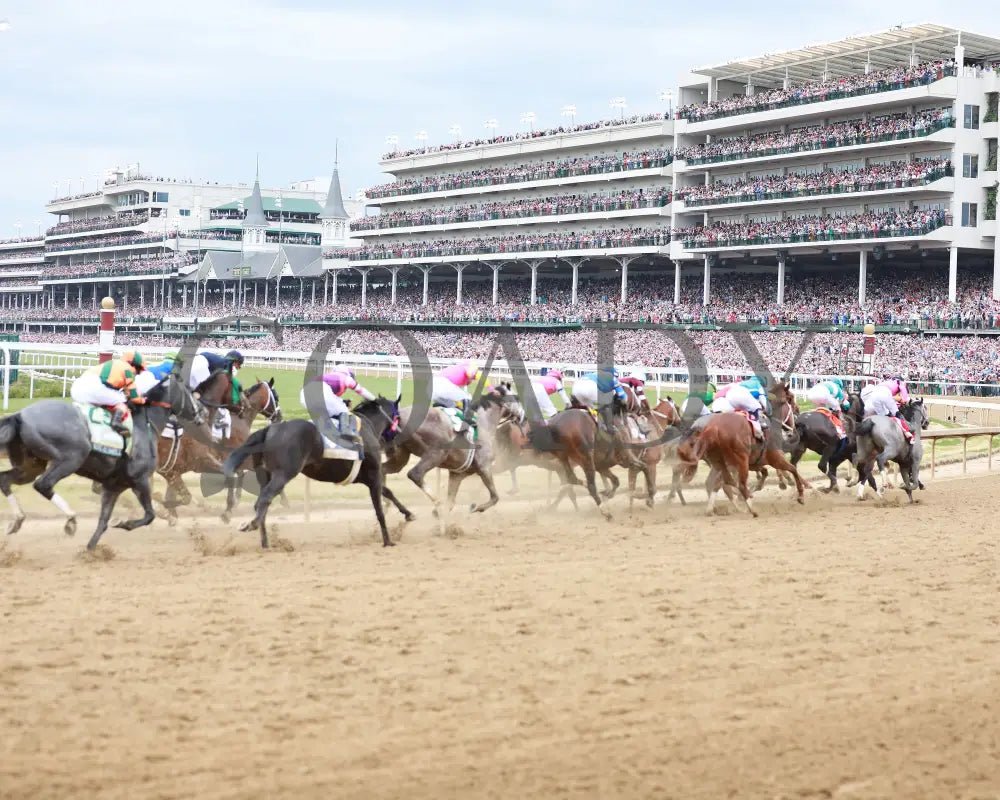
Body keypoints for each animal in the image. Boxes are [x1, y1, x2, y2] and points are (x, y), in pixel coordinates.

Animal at [0, 376, 204, 552]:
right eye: (190, 391)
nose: (202, 412)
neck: (144, 426)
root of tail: (20, 415)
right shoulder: (140, 479)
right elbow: (149, 515)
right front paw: (125, 523)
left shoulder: (113, 486)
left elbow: (103, 522)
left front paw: (90, 551)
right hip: (71, 459)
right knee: (43, 484)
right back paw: (71, 519)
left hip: (31, 465)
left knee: (5, 480)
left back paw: (18, 519)